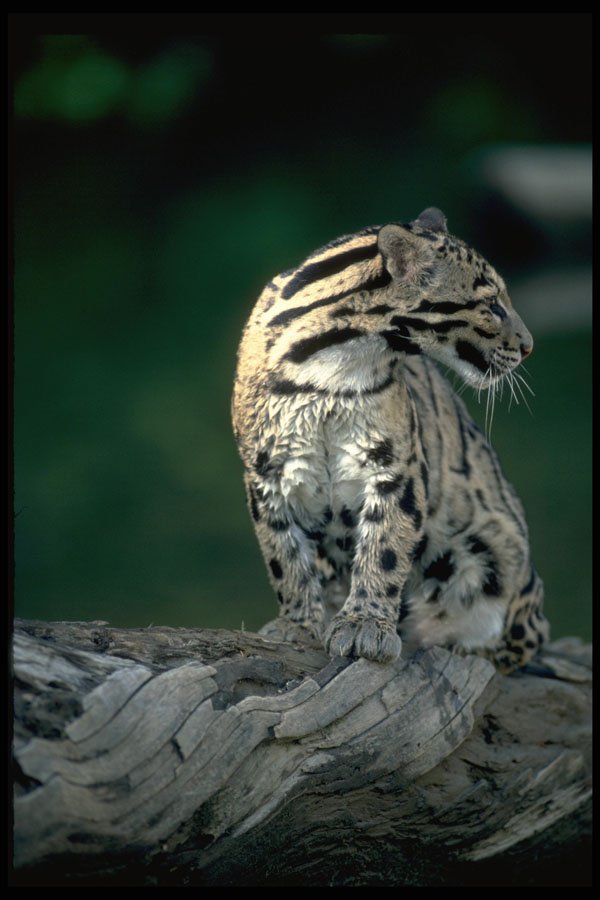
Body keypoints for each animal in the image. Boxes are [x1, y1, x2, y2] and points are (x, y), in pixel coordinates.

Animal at [231, 207, 549, 672]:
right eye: (492, 304)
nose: (529, 346)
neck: (334, 363)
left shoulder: (394, 467)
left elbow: (383, 548)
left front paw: (365, 626)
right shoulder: (266, 472)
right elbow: (284, 555)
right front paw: (298, 625)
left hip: (500, 550)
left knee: (524, 638)